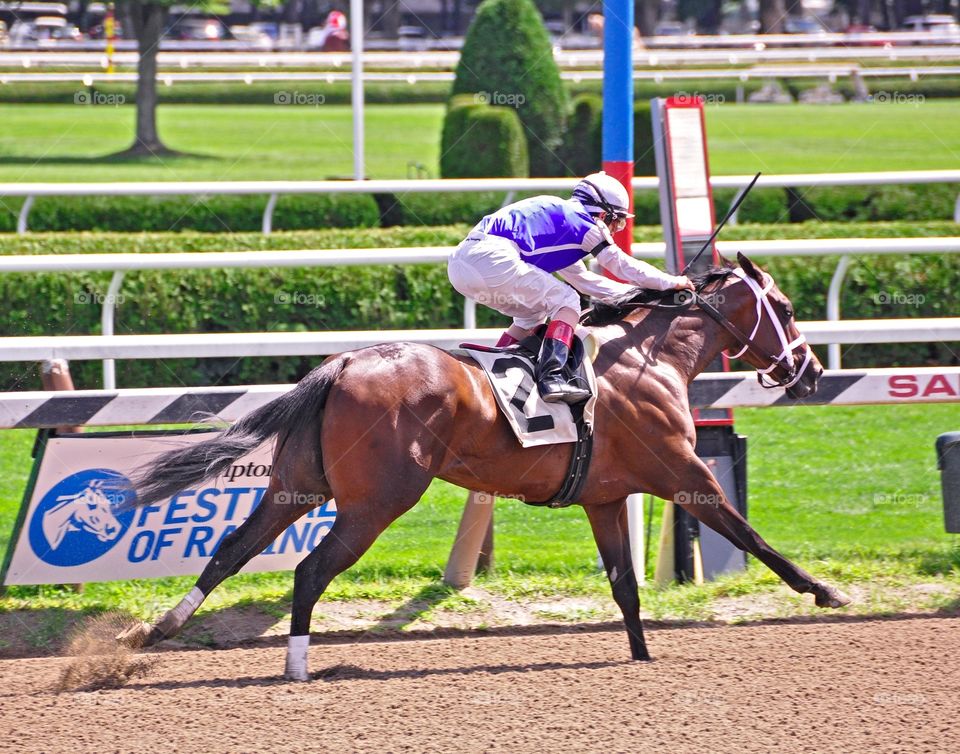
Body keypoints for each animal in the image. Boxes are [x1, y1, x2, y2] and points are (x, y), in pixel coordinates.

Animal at [118, 251, 848, 676]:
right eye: (785, 309)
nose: (810, 371)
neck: (649, 359)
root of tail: (343, 362)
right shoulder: (686, 477)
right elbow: (753, 537)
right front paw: (827, 591)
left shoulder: (604, 499)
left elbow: (624, 585)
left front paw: (641, 656)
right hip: (378, 502)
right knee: (308, 570)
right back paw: (297, 665)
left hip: (297, 484)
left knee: (231, 550)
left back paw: (155, 632)